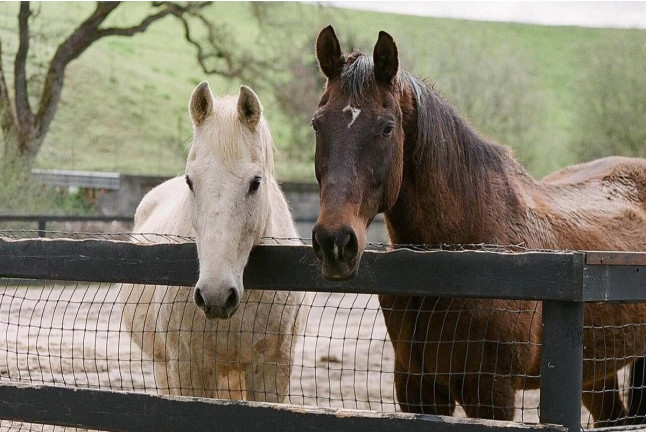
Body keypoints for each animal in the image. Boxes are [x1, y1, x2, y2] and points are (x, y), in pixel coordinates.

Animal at [119, 82, 308, 402]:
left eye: (255, 182)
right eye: (190, 181)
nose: (216, 295)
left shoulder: (271, 370)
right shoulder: (189, 367)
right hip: (165, 368)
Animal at [310, 25, 646, 426]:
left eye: (387, 128)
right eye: (317, 124)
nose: (334, 242)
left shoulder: (490, 392)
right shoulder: (418, 388)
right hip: (595, 369)